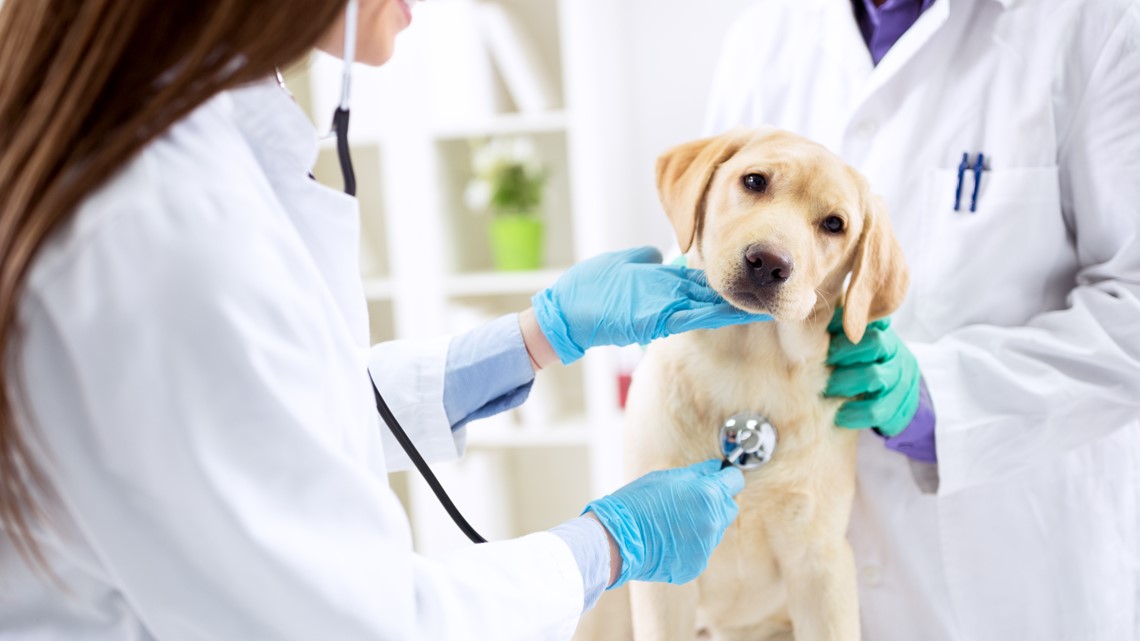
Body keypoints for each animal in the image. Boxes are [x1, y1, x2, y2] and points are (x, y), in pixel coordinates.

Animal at [624, 126, 907, 638]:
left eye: (834, 225)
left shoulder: (822, 565)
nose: (769, 261)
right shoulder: (659, 577)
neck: (749, 365)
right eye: (754, 181)